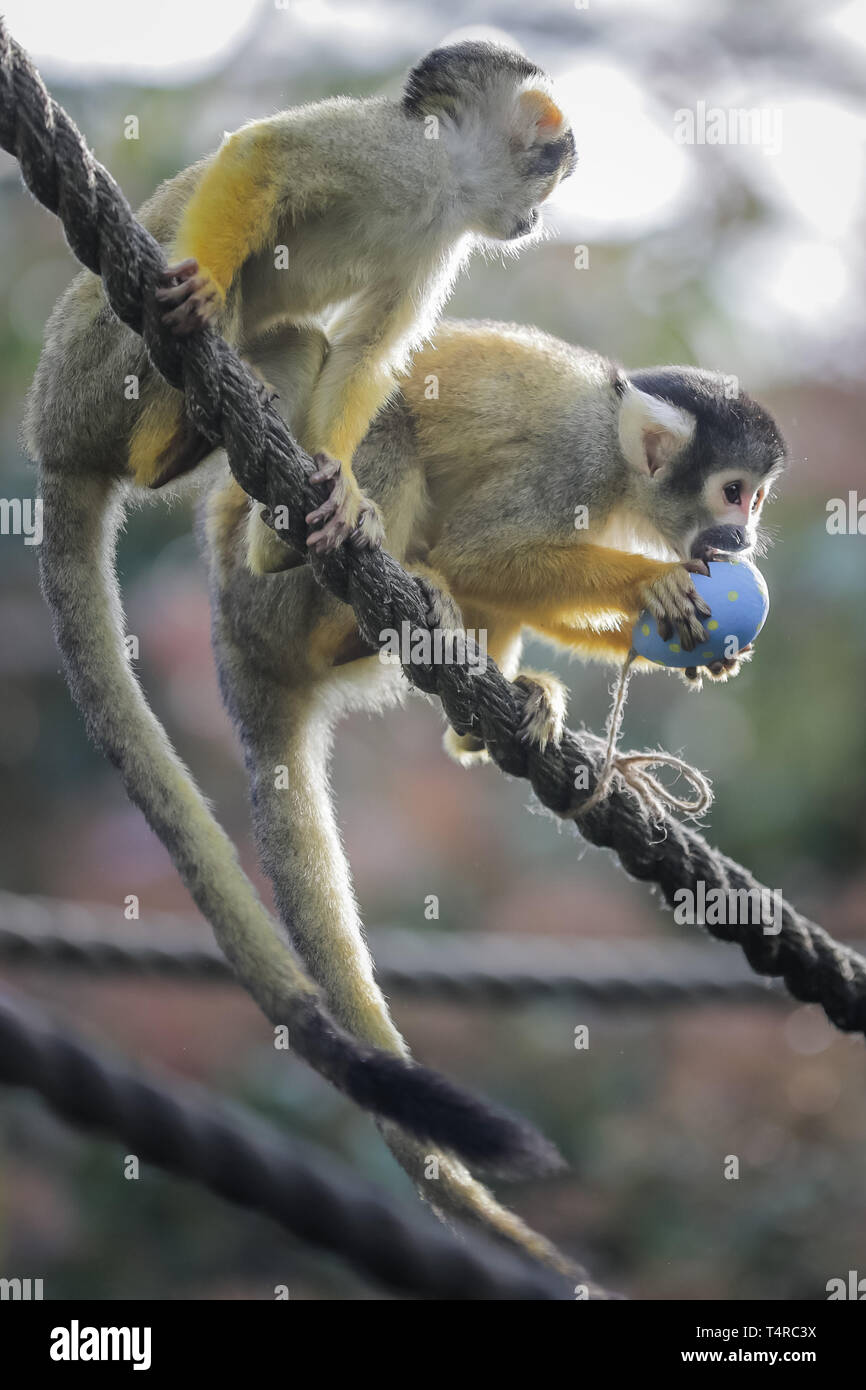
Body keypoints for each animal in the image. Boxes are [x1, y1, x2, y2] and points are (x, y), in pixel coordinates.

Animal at [201, 318, 783, 1273]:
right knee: (397, 442)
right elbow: (483, 551)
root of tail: (230, 635)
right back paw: (362, 603)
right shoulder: (577, 473)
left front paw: (655, 634)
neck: (624, 462)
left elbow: (502, 573)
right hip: (265, 600)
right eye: (733, 492)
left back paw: (491, 713)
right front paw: (646, 586)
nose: (741, 536)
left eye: (758, 500)